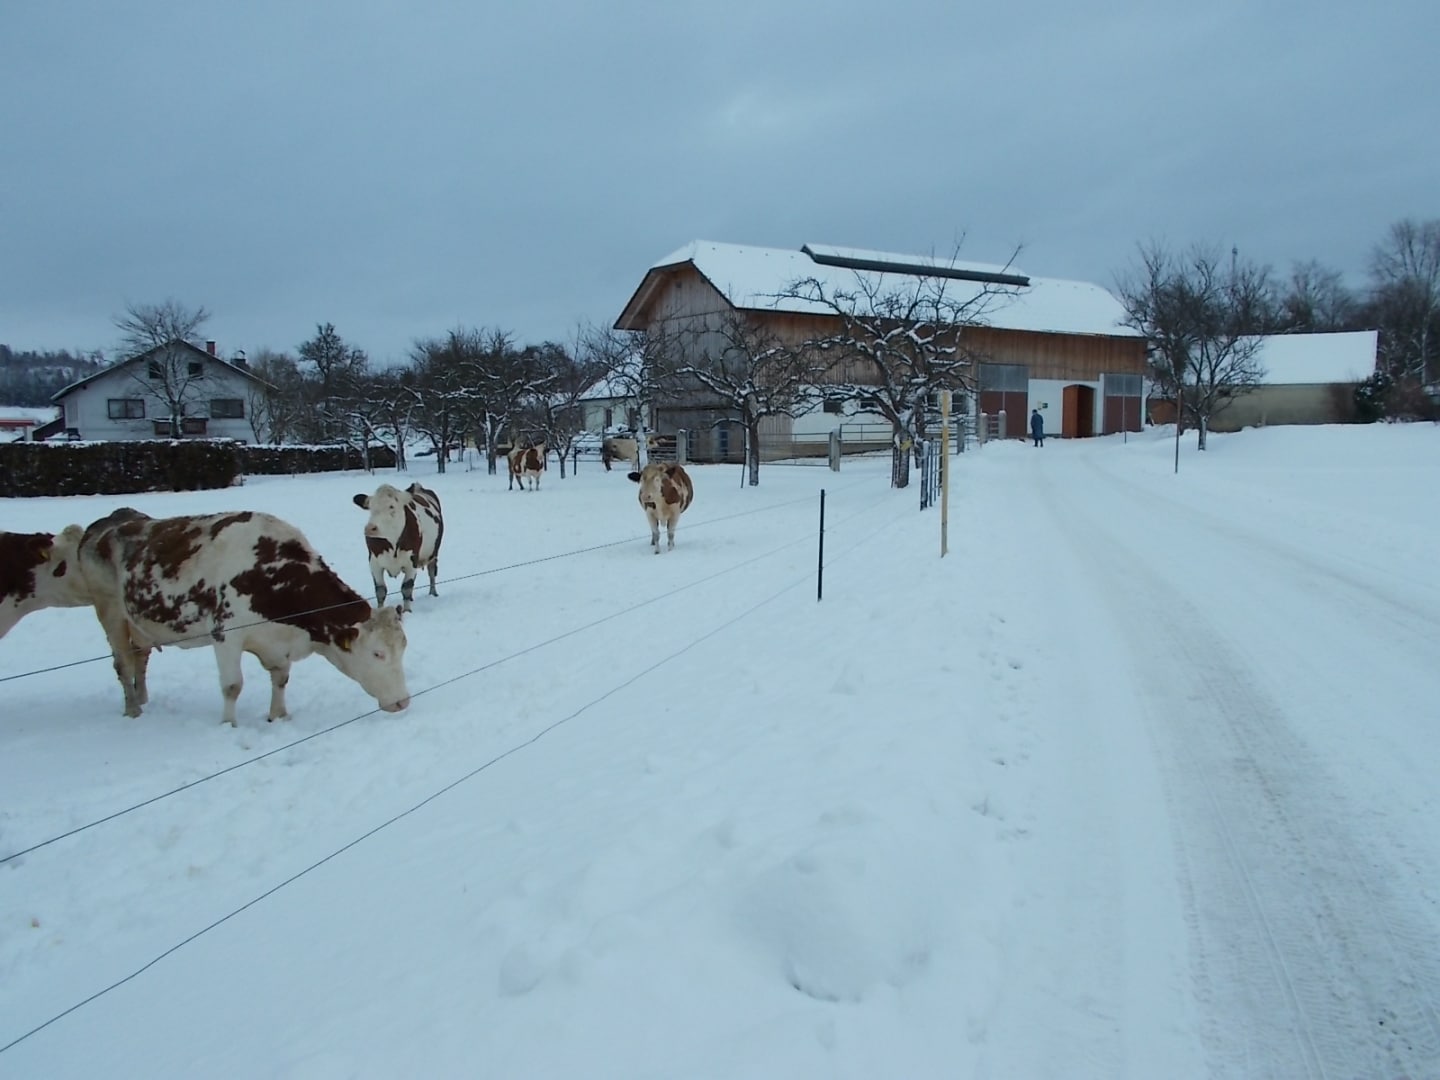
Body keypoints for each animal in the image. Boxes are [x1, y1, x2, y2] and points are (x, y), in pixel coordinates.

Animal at [78, 508, 410, 727]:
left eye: (403, 649)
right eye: (377, 653)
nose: (403, 701)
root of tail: (106, 524)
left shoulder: (278, 642)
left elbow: (281, 678)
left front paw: (279, 716)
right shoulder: (226, 634)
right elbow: (232, 685)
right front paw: (229, 726)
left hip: (139, 625)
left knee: (140, 657)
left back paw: (142, 698)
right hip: (110, 613)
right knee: (122, 663)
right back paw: (133, 710)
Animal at [351, 482, 443, 611]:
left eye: (391, 506)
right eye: (370, 507)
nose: (370, 528)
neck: (393, 541)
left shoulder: (412, 561)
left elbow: (406, 587)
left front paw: (407, 611)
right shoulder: (374, 562)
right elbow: (380, 590)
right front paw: (380, 610)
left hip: (433, 553)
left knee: (432, 573)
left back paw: (433, 593)